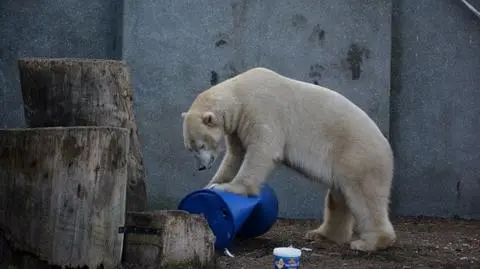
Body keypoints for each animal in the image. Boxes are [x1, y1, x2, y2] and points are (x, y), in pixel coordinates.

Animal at [182, 66, 396, 250]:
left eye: (201, 145)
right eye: (190, 148)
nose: (201, 167)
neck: (239, 93)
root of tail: (387, 146)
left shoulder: (261, 109)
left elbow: (263, 150)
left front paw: (230, 188)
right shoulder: (237, 127)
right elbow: (235, 156)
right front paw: (212, 184)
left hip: (356, 155)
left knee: (364, 196)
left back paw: (370, 242)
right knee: (338, 197)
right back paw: (322, 235)